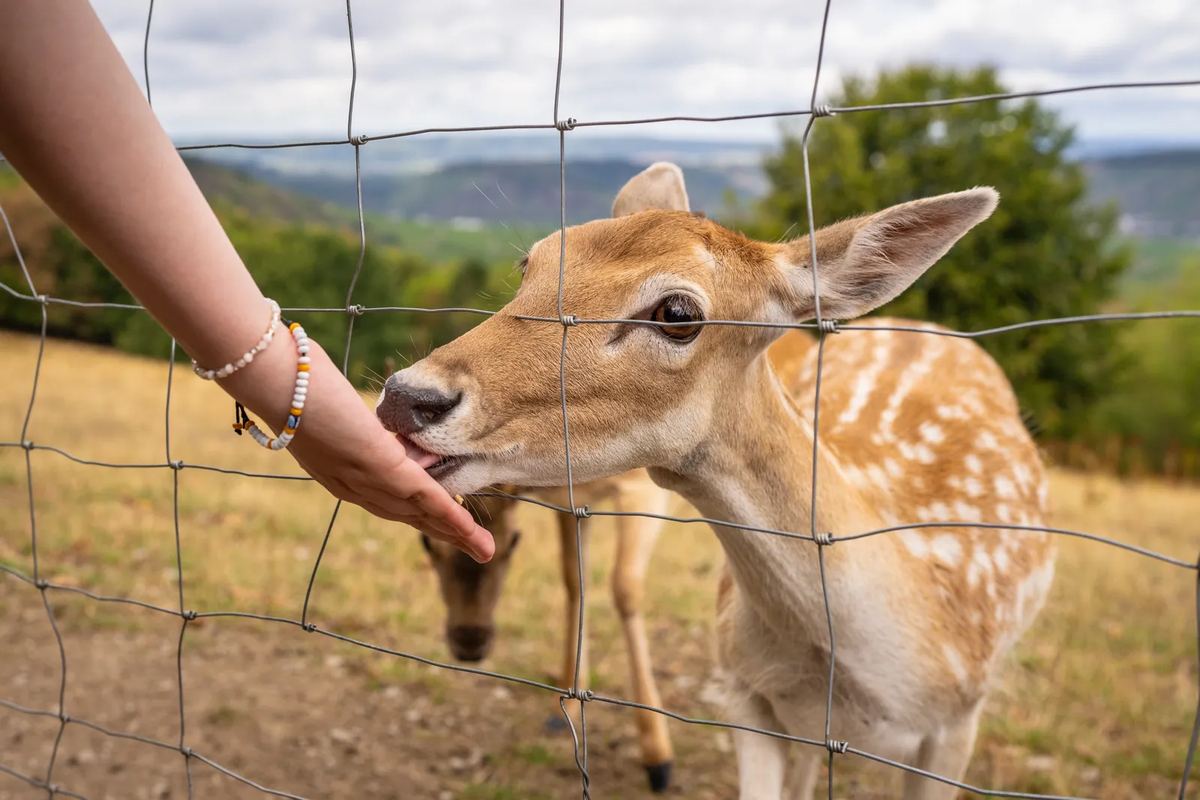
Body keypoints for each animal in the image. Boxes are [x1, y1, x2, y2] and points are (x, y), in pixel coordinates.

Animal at [418, 470, 678, 792]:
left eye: (515, 541)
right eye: (425, 542)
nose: (470, 642)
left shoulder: (643, 487)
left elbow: (625, 587)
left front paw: (658, 760)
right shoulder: (573, 501)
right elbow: (574, 578)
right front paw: (563, 707)